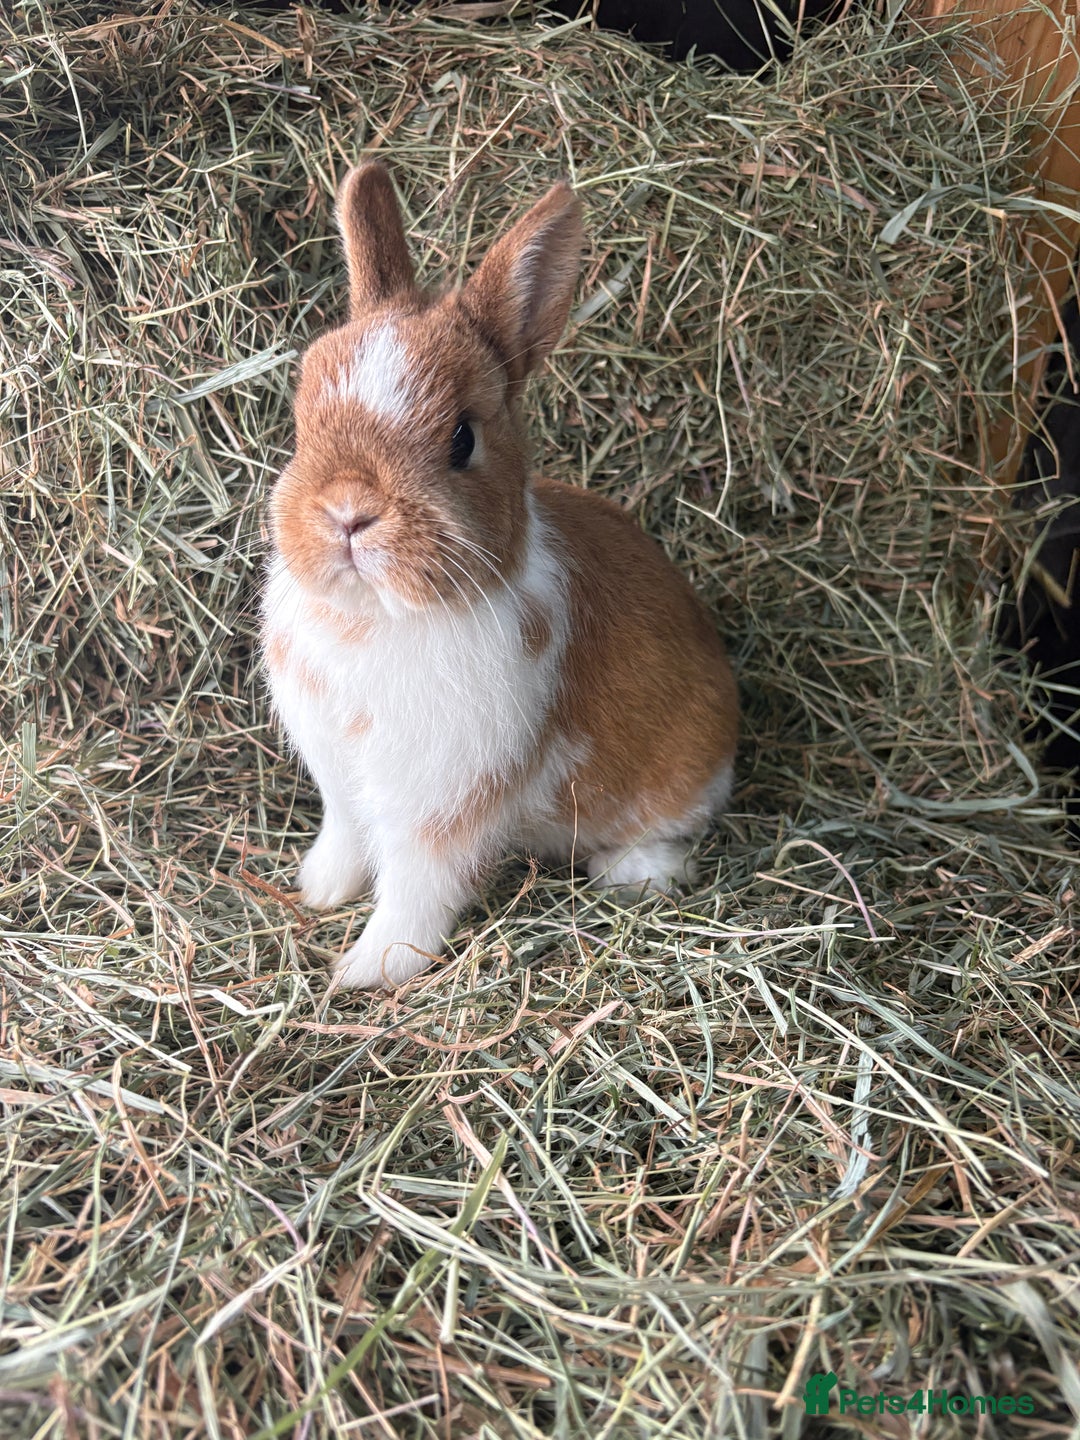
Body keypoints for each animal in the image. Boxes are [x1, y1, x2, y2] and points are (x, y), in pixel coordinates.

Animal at [261, 162, 738, 990]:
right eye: (303, 410)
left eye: (461, 438)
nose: (348, 511)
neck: (375, 616)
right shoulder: (341, 782)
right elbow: (344, 838)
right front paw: (318, 888)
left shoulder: (440, 807)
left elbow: (416, 892)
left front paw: (367, 969)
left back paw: (631, 872)